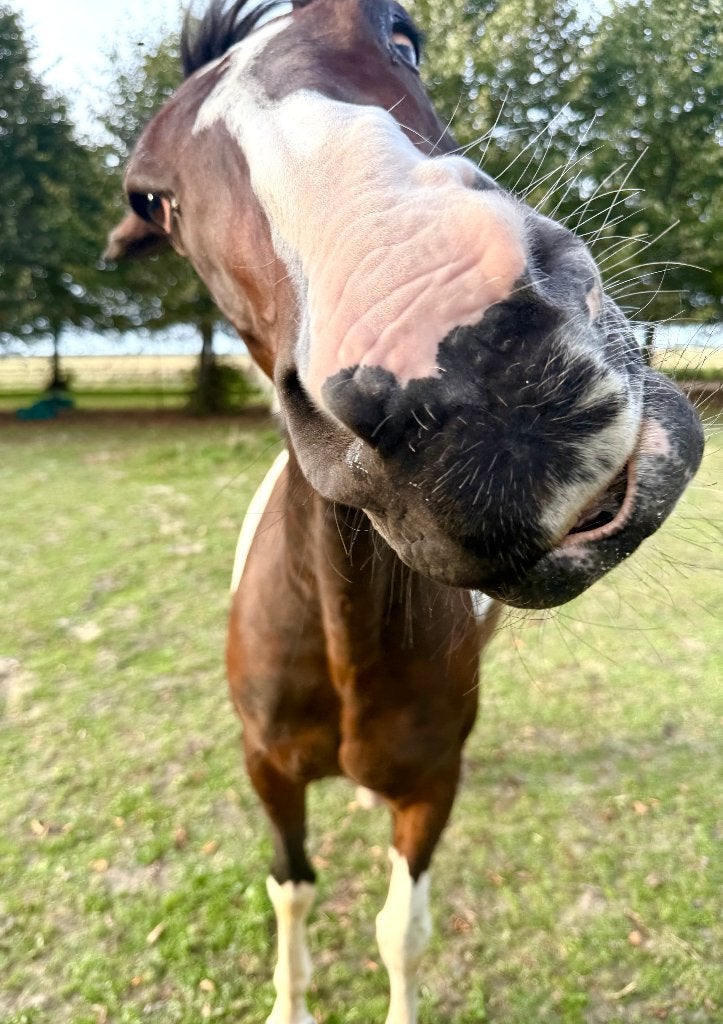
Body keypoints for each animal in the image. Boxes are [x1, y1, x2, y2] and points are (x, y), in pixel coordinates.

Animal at [106, 2, 704, 1021]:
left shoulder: (431, 785)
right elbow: (290, 890)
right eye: (153, 198)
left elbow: (401, 929)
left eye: (400, 34)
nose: (480, 377)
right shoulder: (265, 769)